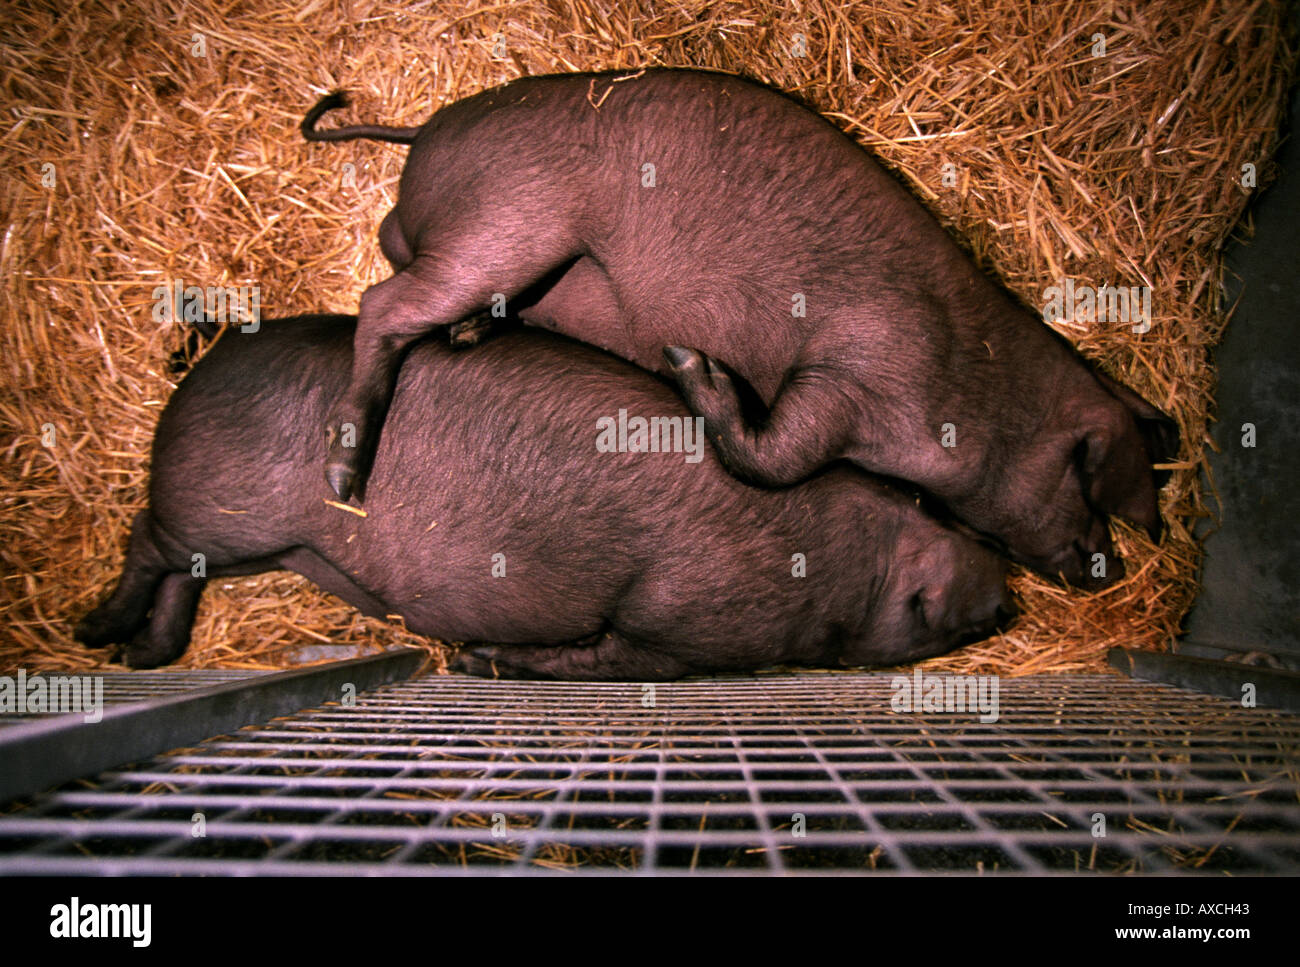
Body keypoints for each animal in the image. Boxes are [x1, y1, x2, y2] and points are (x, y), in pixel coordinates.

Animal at [78, 317, 1013, 681]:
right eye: (934, 619)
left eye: (933, 506)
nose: (1007, 596)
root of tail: (209, 350)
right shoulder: (671, 633)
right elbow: (598, 658)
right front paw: (473, 660)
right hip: (221, 507)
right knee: (145, 538)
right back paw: (98, 632)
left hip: (255, 544)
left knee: (178, 571)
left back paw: (143, 656)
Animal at [301, 67, 1180, 590]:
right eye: (1083, 479)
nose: (1108, 568)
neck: (971, 375)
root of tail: (425, 131)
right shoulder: (854, 366)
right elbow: (774, 456)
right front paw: (691, 363)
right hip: (508, 226)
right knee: (382, 304)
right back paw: (345, 480)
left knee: (396, 259)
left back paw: (465, 341)